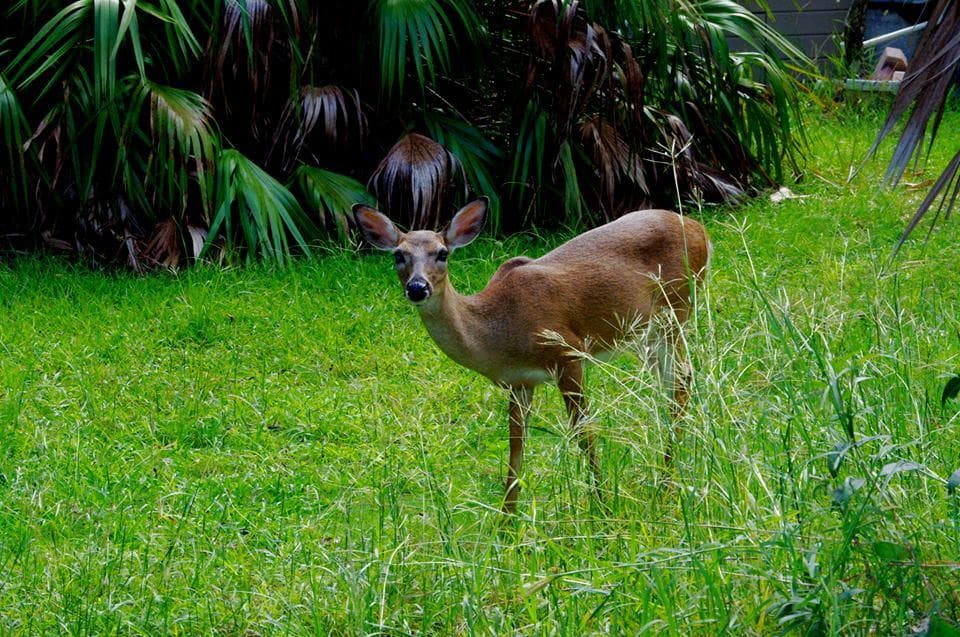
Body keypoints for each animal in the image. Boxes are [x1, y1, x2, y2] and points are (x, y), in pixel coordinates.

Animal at [354, 198, 710, 513]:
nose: (417, 288)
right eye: (398, 255)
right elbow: (516, 445)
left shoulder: (568, 353)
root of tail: (701, 231)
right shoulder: (519, 381)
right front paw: (507, 522)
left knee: (681, 380)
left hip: (675, 310)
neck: (497, 332)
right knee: (671, 384)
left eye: (442, 253)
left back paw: (667, 484)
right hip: (646, 333)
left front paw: (602, 504)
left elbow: (583, 432)